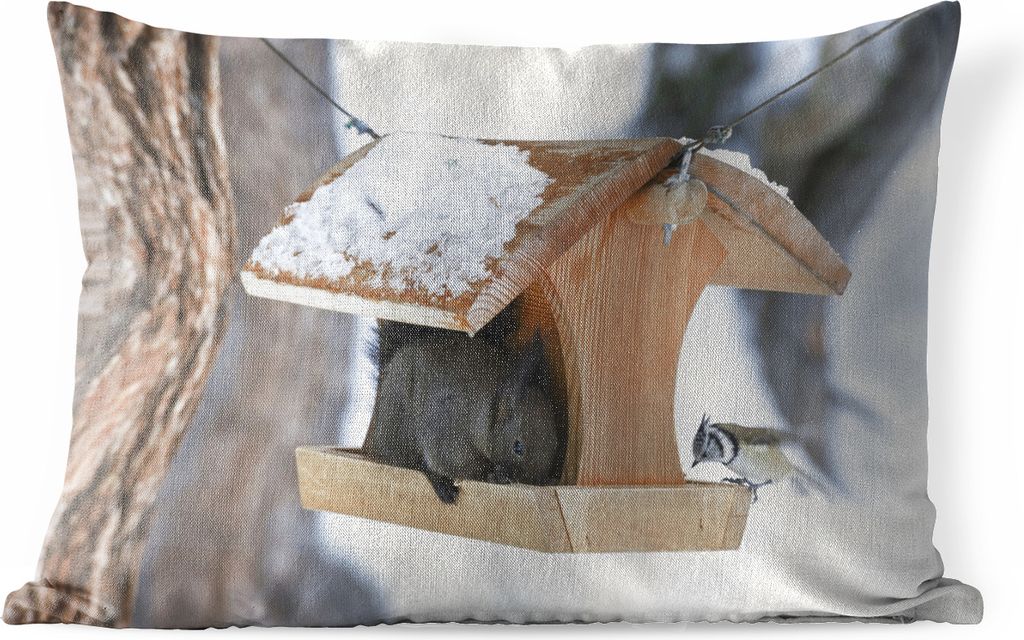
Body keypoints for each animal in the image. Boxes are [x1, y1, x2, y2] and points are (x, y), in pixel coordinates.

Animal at [362, 310, 564, 504]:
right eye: (518, 447)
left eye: (555, 446)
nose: (533, 482)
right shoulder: (447, 433)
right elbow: (459, 466)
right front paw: (493, 474)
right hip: (398, 428)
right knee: (411, 464)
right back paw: (441, 484)